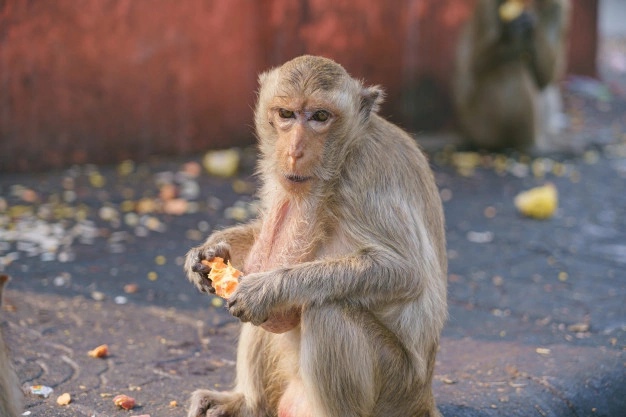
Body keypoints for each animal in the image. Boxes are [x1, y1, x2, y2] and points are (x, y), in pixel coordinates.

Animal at [183, 56, 446, 416]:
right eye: (286, 114)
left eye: (320, 117)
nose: (294, 151)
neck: (341, 158)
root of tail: (424, 398)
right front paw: (207, 253)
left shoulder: (365, 176)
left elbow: (404, 271)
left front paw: (267, 289)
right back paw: (247, 404)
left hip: (396, 387)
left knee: (327, 310)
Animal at [450, 0, 568, 152]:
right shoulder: (485, 8)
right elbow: (474, 67)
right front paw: (511, 38)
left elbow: (544, 79)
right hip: (477, 123)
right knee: (510, 69)